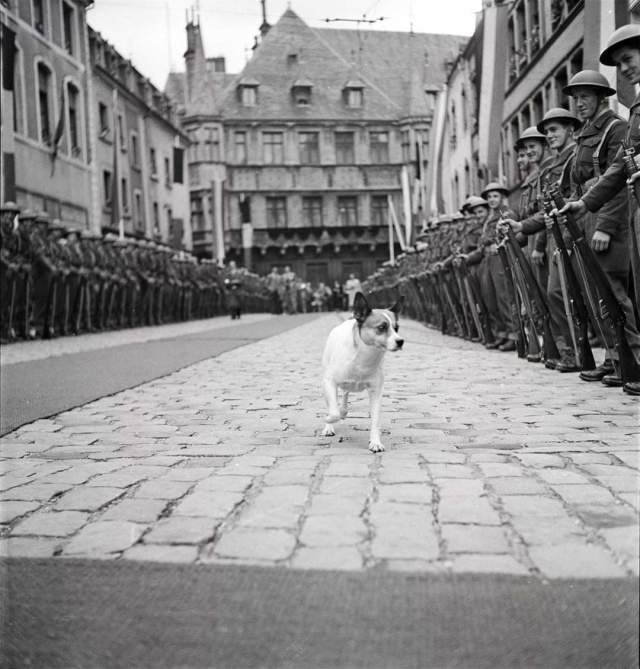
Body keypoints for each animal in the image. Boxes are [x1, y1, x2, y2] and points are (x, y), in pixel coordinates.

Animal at [322, 290, 402, 452]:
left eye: (397, 328)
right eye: (382, 327)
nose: (400, 341)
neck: (365, 358)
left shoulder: (376, 391)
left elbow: (375, 421)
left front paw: (375, 442)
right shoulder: (329, 382)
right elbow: (333, 412)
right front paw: (329, 420)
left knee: (345, 393)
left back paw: (344, 410)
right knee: (333, 402)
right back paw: (330, 426)